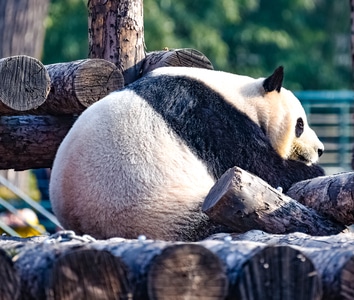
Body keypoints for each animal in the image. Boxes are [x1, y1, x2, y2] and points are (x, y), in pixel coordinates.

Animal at [48, 65, 324, 241]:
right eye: (300, 124)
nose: (320, 150)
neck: (240, 95)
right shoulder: (211, 118)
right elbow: (257, 165)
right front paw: (310, 170)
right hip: (167, 211)